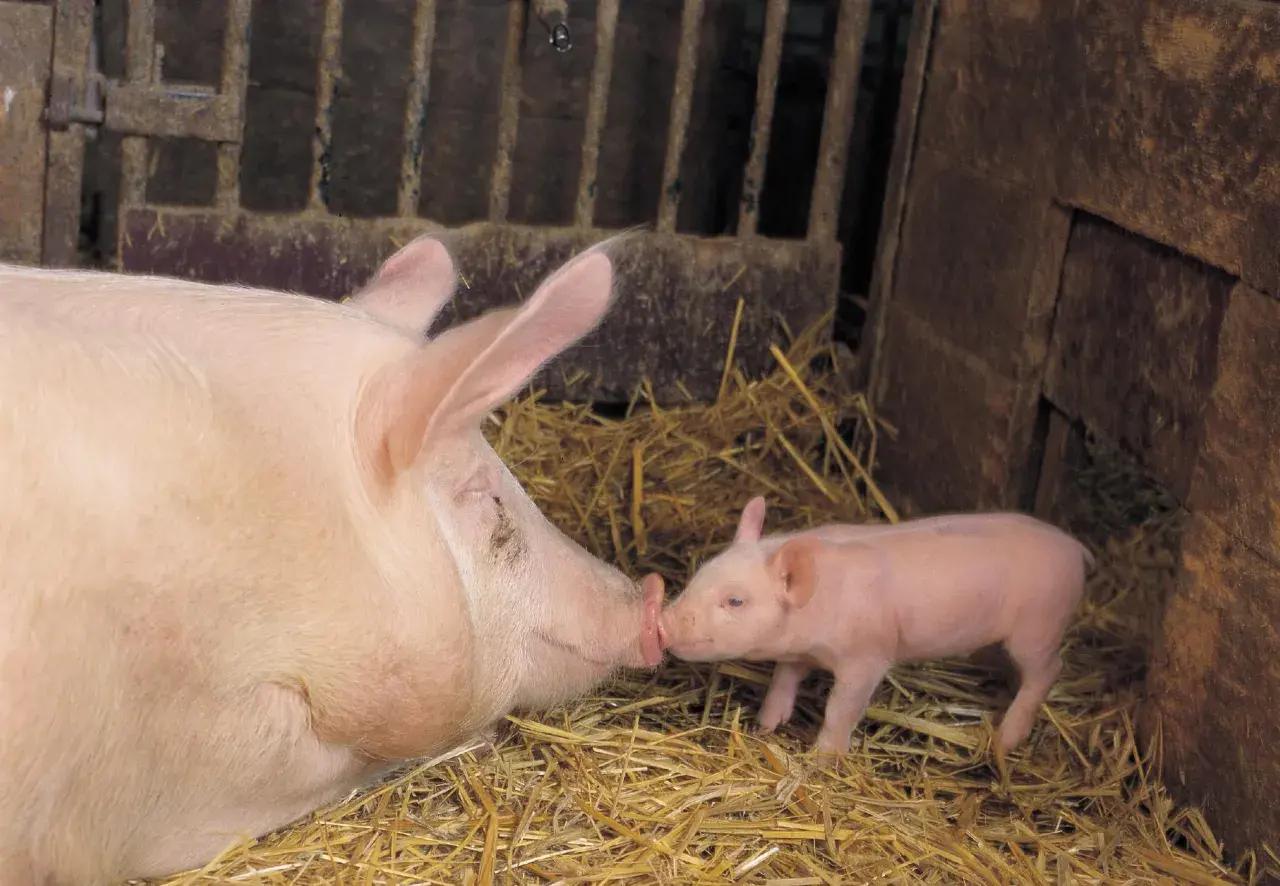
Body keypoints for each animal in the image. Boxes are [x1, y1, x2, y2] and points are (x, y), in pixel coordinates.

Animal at [659, 496, 1095, 757]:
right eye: (698, 575)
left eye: (735, 600)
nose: (662, 621)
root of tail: (1075, 548)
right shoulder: (800, 651)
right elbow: (784, 679)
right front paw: (766, 726)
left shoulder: (868, 656)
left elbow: (841, 707)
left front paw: (820, 760)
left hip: (1040, 625)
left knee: (1048, 670)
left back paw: (1004, 741)